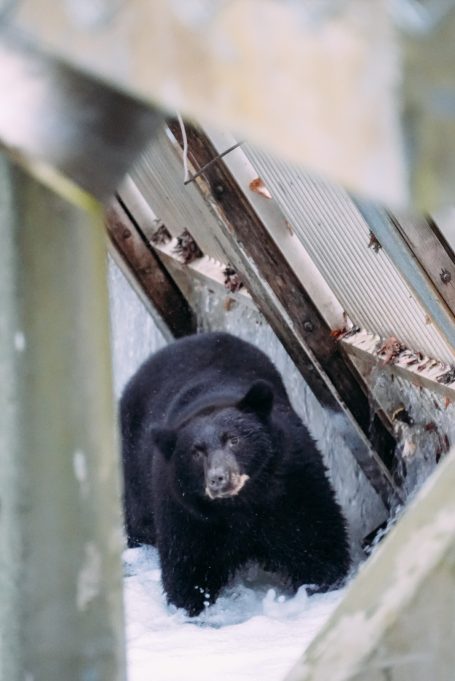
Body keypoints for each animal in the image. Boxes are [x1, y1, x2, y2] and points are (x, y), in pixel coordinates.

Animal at [120, 332, 350, 616]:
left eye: (233, 439)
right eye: (196, 452)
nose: (219, 478)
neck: (242, 506)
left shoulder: (291, 483)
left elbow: (314, 537)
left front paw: (323, 584)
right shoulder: (185, 510)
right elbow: (187, 563)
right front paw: (193, 608)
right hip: (134, 469)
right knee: (139, 520)